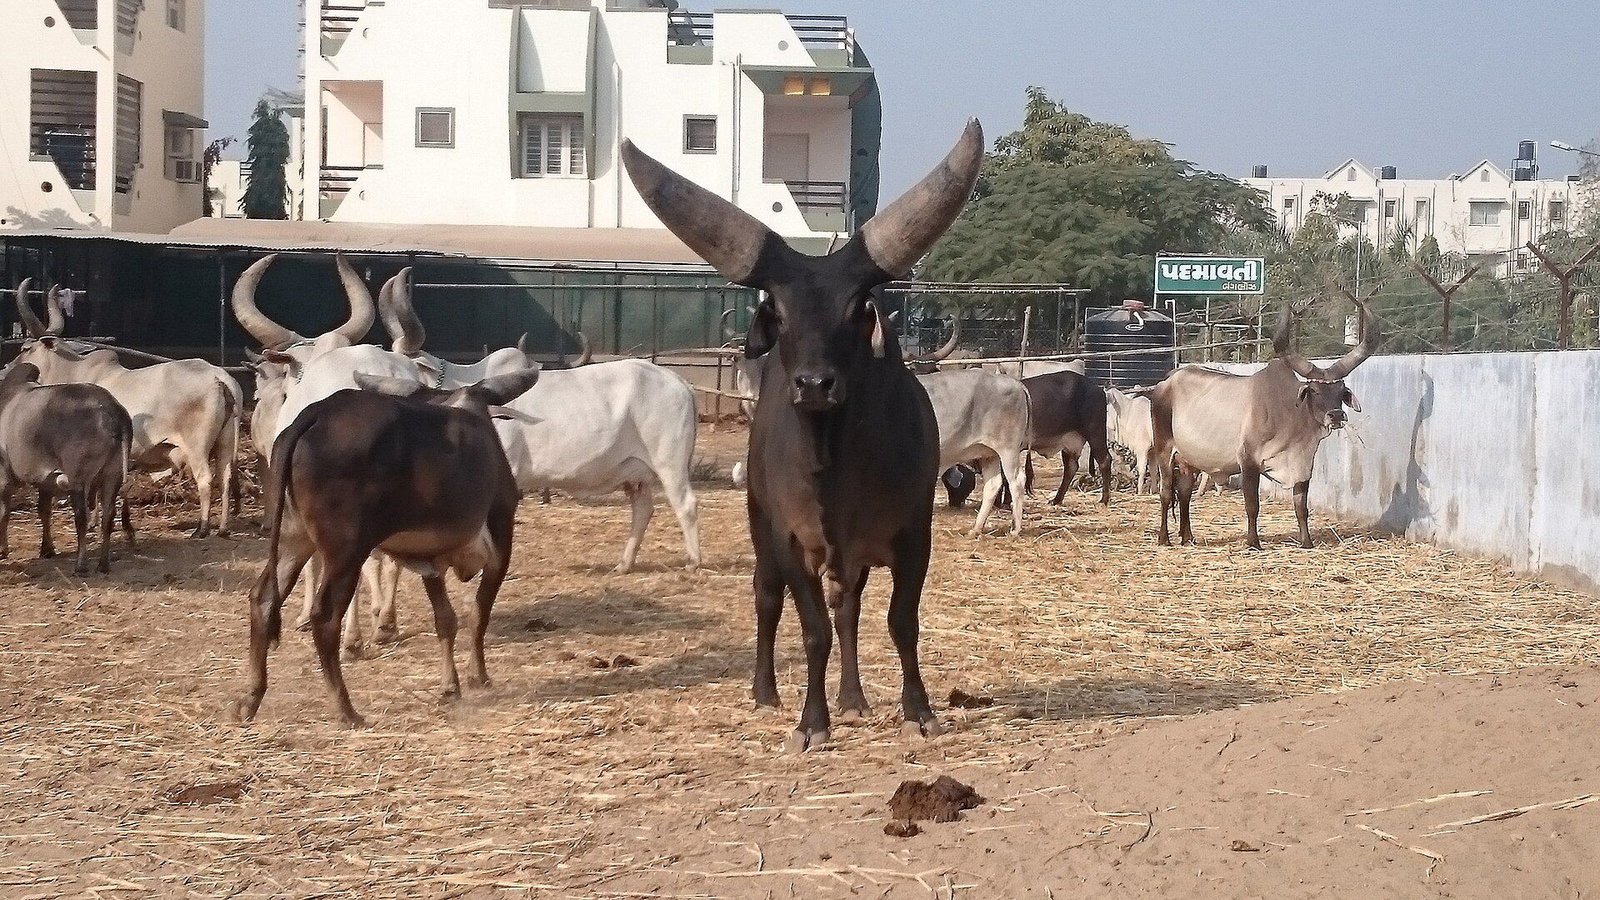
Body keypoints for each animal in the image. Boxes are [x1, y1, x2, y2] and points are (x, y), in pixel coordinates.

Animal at [0, 363, 132, 573]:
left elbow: (4, 513)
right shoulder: (45, 480)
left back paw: (81, 565)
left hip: (79, 477)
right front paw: (47, 549)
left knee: (81, 517)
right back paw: (103, 564)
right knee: (108, 516)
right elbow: (44, 511)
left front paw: (3, 550)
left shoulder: (4, 475)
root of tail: (113, 412)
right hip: (113, 475)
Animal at [13, 279, 242, 537]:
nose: (8, 367)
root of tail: (218, 377)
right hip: (225, 442)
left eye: (24, 349)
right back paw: (222, 527)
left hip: (197, 446)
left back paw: (202, 529)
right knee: (225, 478)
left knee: (206, 479)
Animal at [232, 367, 542, 727]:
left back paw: (250, 699)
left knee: (264, 599)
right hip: (346, 551)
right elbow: (478, 616)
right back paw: (346, 710)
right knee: (324, 617)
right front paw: (478, 677)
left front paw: (451, 686)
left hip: (293, 539)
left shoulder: (430, 558)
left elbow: (446, 621)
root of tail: (316, 413)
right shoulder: (500, 544)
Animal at [622, 120, 983, 751]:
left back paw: (854, 698)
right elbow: (812, 630)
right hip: (761, 528)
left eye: (858, 307)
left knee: (848, 610)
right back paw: (766, 693)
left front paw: (917, 710)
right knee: (768, 600)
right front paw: (811, 722)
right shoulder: (791, 540)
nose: (815, 383)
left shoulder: (914, 532)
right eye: (780, 310)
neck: (832, 465)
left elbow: (900, 622)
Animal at [1151, 298, 1381, 549]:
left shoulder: (1303, 467)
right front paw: (1253, 543)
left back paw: (1188, 538)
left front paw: (1306, 541)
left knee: (1184, 494)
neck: (1290, 418)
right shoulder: (1248, 462)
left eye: (1341, 390)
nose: (1336, 416)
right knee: (1165, 493)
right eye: (1314, 391)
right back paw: (1163, 539)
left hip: (1189, 461)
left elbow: (1301, 508)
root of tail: (1165, 383)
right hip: (1164, 451)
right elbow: (1252, 506)